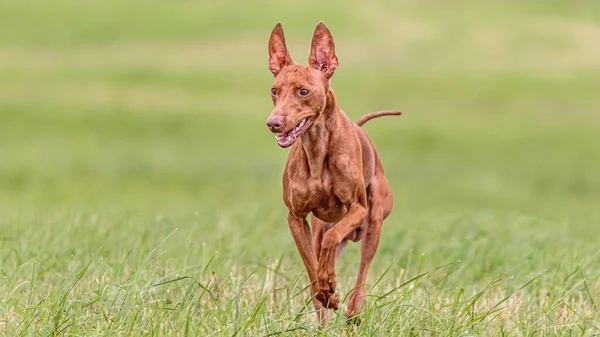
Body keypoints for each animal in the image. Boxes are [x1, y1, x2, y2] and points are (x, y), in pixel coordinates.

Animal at [264, 21, 400, 322]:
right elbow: (311, 265)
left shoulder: (357, 209)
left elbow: (332, 241)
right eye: (274, 90)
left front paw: (331, 287)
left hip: (373, 222)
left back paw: (352, 311)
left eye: (303, 91)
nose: (273, 123)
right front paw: (326, 290)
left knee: (361, 274)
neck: (316, 151)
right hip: (319, 226)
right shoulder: (296, 218)